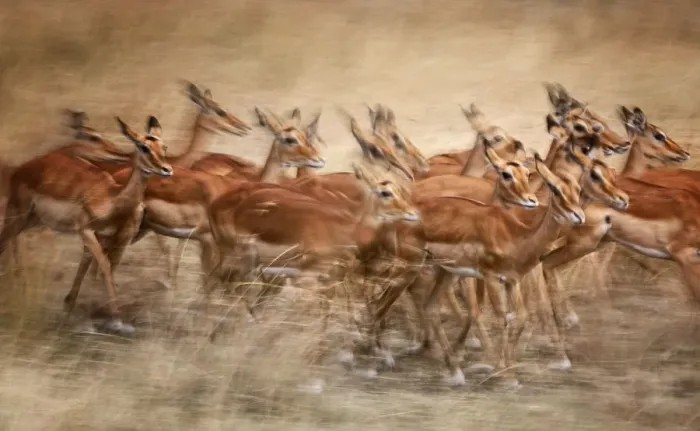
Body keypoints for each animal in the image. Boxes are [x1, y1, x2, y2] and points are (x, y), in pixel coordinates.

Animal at [0, 116, 172, 333]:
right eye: (144, 147)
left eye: (164, 146)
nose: (166, 170)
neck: (110, 196)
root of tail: (20, 169)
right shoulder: (86, 231)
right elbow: (104, 266)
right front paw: (116, 320)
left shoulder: (105, 236)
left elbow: (93, 266)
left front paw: (74, 306)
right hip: (17, 216)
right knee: (4, 240)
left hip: (32, 220)